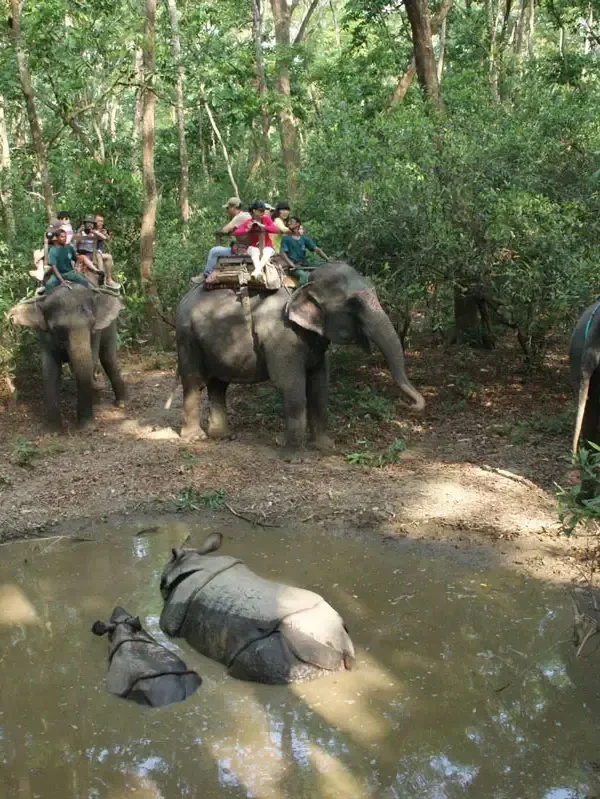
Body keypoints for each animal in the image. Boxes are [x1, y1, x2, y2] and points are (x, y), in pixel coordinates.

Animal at [7, 284, 125, 429]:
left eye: (92, 324)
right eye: (57, 329)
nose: (97, 374)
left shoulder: (95, 333)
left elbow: (90, 361)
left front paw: (87, 428)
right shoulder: (44, 336)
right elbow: (50, 371)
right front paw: (52, 430)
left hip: (110, 324)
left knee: (108, 357)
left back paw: (121, 403)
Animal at [175, 261, 424, 453]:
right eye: (354, 303)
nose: (413, 406)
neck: (303, 284)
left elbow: (319, 383)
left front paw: (325, 447)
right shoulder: (281, 335)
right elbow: (290, 384)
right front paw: (293, 454)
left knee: (219, 384)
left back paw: (222, 436)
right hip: (187, 337)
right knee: (193, 382)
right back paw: (195, 437)